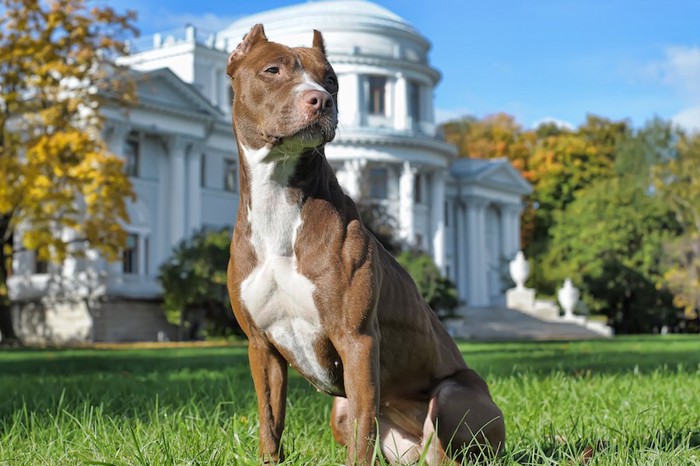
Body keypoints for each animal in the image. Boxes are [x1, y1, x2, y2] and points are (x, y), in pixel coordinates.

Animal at [224, 25, 504, 466]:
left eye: (331, 80)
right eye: (272, 70)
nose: (321, 99)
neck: (277, 200)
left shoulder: (356, 339)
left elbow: (363, 429)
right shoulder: (261, 345)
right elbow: (270, 423)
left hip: (450, 396)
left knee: (444, 447)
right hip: (337, 411)